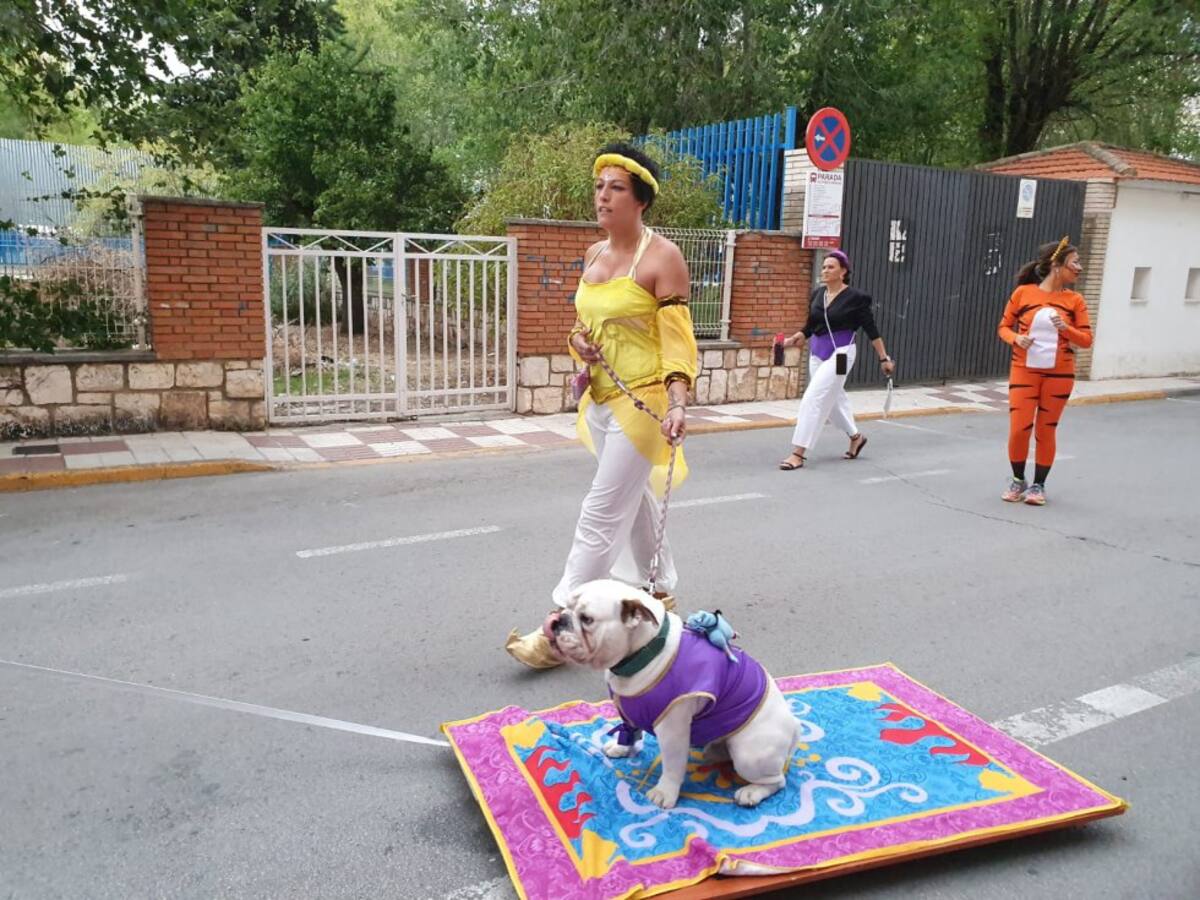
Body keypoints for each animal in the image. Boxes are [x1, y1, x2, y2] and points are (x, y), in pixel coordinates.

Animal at [545, 579, 798, 810]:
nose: (558, 620)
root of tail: (794, 727)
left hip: (749, 755)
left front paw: (664, 793)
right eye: (564, 607)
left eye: (587, 619)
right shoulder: (628, 709)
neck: (642, 652)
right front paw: (622, 747)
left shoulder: (672, 730)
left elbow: (672, 765)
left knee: (778, 781)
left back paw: (752, 792)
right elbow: (629, 731)